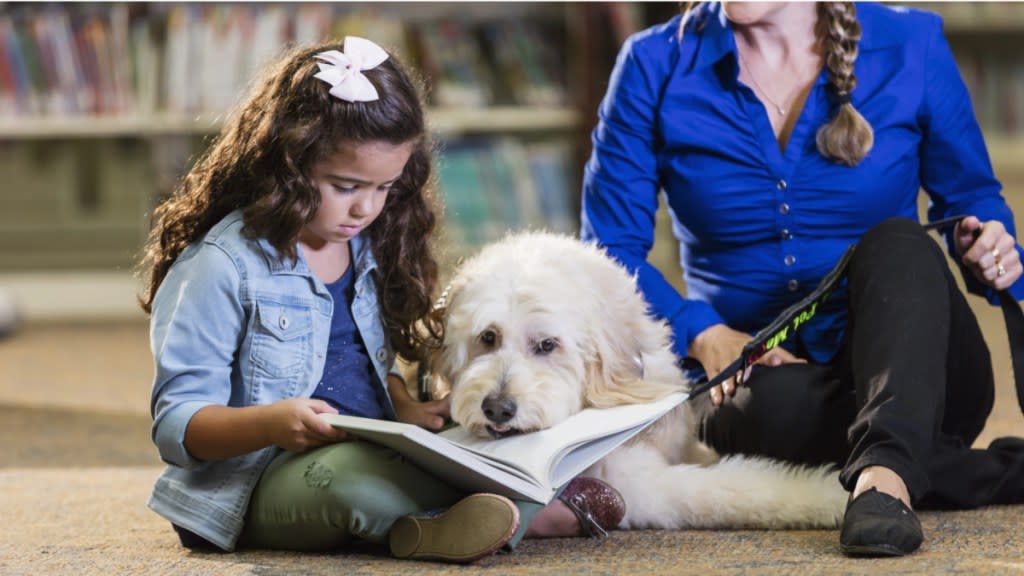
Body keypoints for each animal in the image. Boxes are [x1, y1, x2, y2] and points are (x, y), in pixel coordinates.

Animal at [432, 230, 847, 528]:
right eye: (488, 337)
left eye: (547, 345)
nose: (497, 408)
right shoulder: (636, 484)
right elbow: (739, 490)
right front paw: (836, 496)